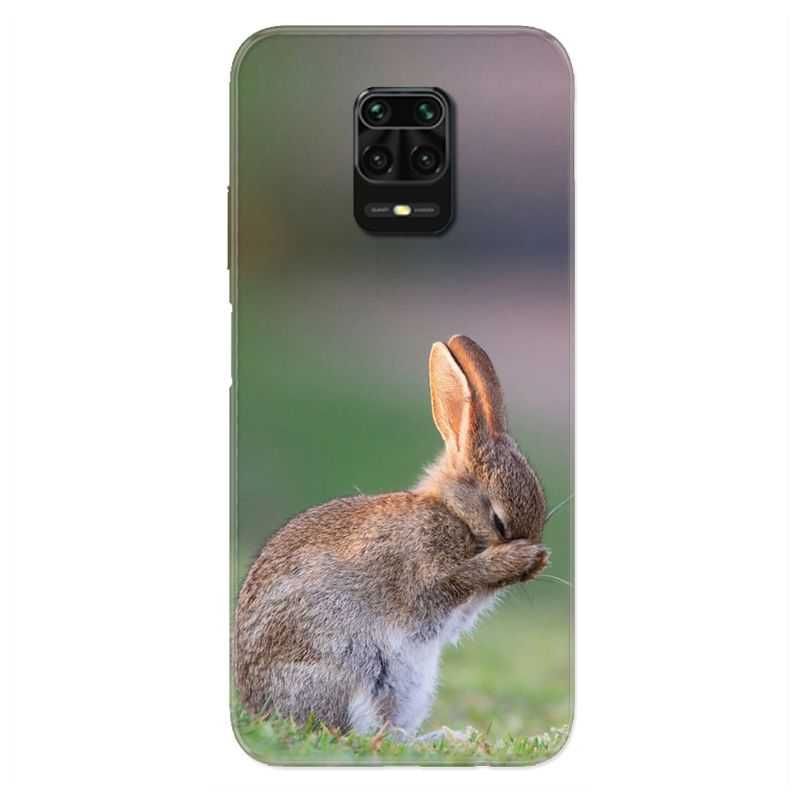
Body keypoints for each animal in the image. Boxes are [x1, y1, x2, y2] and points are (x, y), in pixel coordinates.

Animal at [234, 334, 549, 736]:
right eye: (498, 521)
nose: (534, 557)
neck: (453, 513)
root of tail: (259, 707)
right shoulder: (426, 571)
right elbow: (453, 581)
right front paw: (519, 558)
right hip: (353, 668)